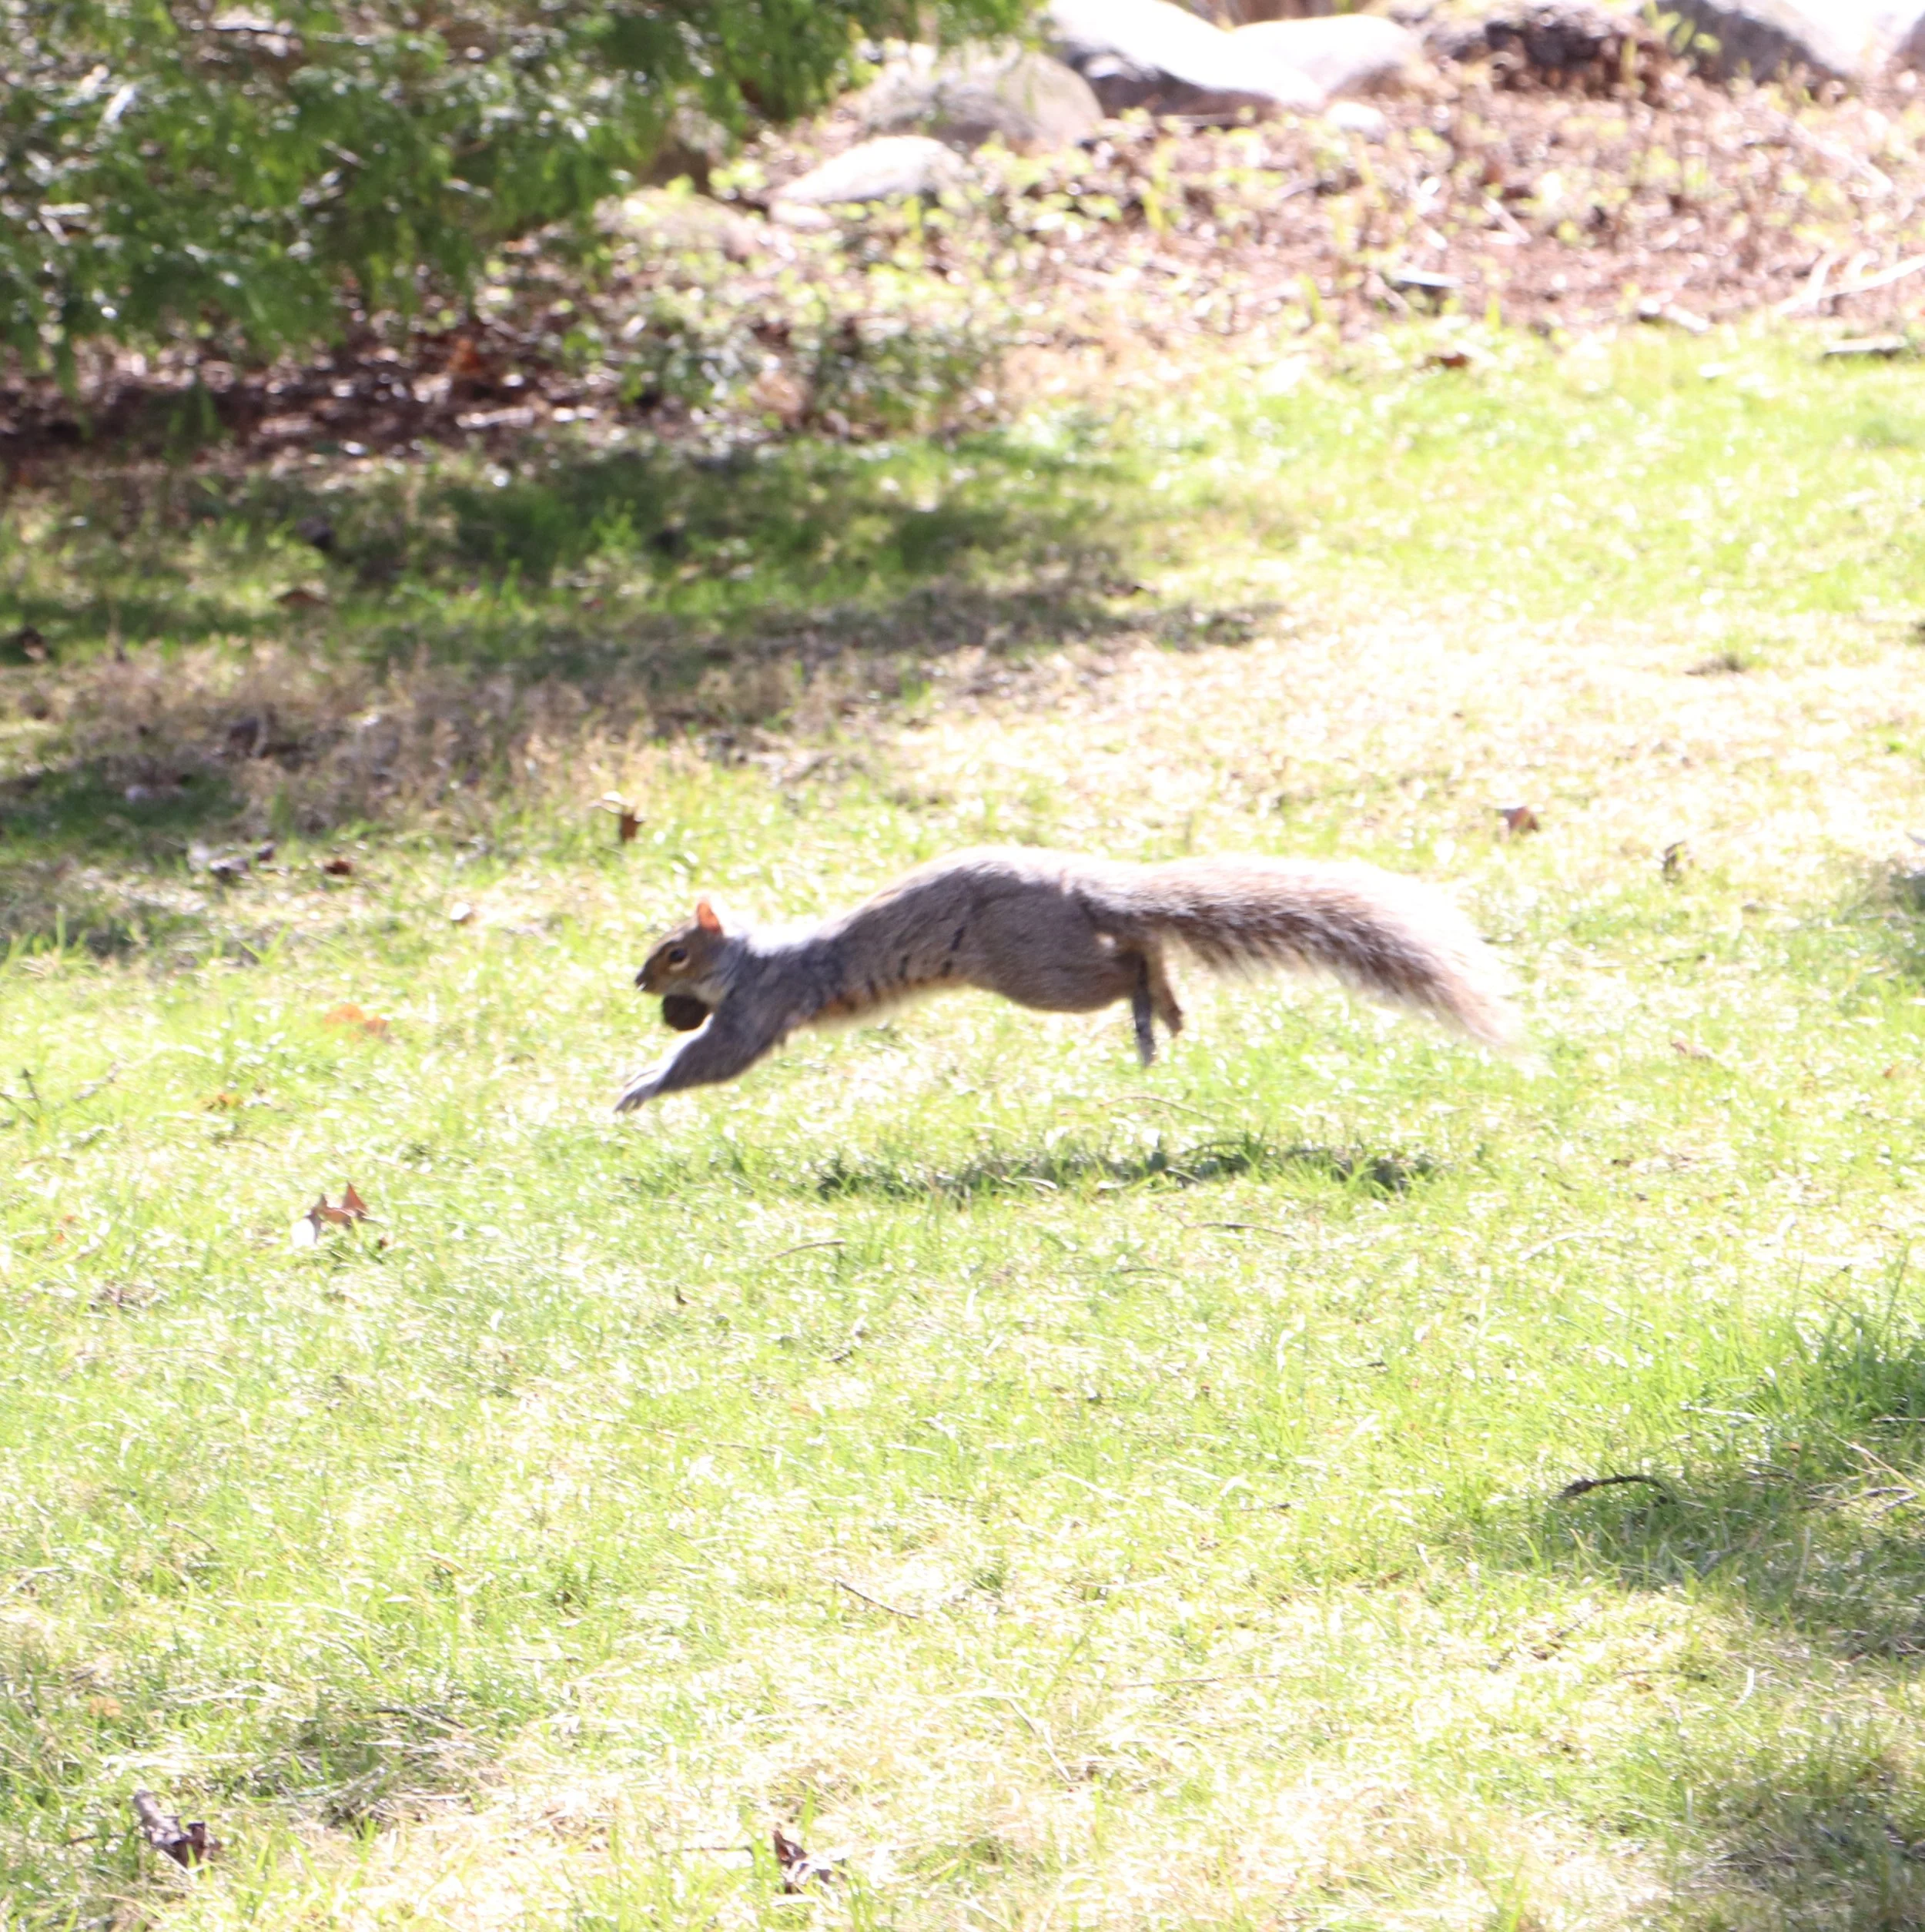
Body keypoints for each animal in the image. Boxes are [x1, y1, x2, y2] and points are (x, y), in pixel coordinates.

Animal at [615, 847, 1517, 1111]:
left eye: (674, 952)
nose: (636, 983)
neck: (752, 957)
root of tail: (1080, 882)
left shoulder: (760, 1006)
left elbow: (716, 1057)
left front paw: (636, 1089)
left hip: (1036, 967)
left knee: (1129, 960)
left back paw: (1153, 1008)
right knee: (1142, 947)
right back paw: (1169, 1011)